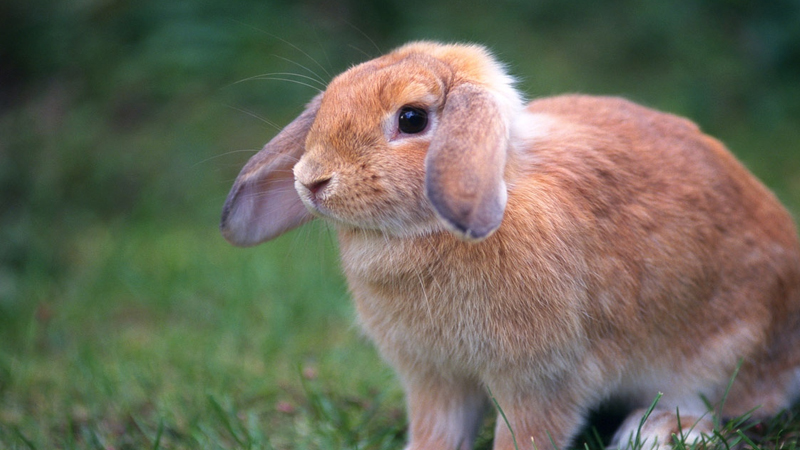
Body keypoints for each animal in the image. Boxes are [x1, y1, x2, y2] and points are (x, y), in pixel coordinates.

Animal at [219, 40, 800, 448]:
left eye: (412, 119)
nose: (310, 180)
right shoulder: (435, 380)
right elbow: (436, 434)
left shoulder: (542, 379)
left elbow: (526, 435)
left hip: (722, 351)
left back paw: (654, 433)